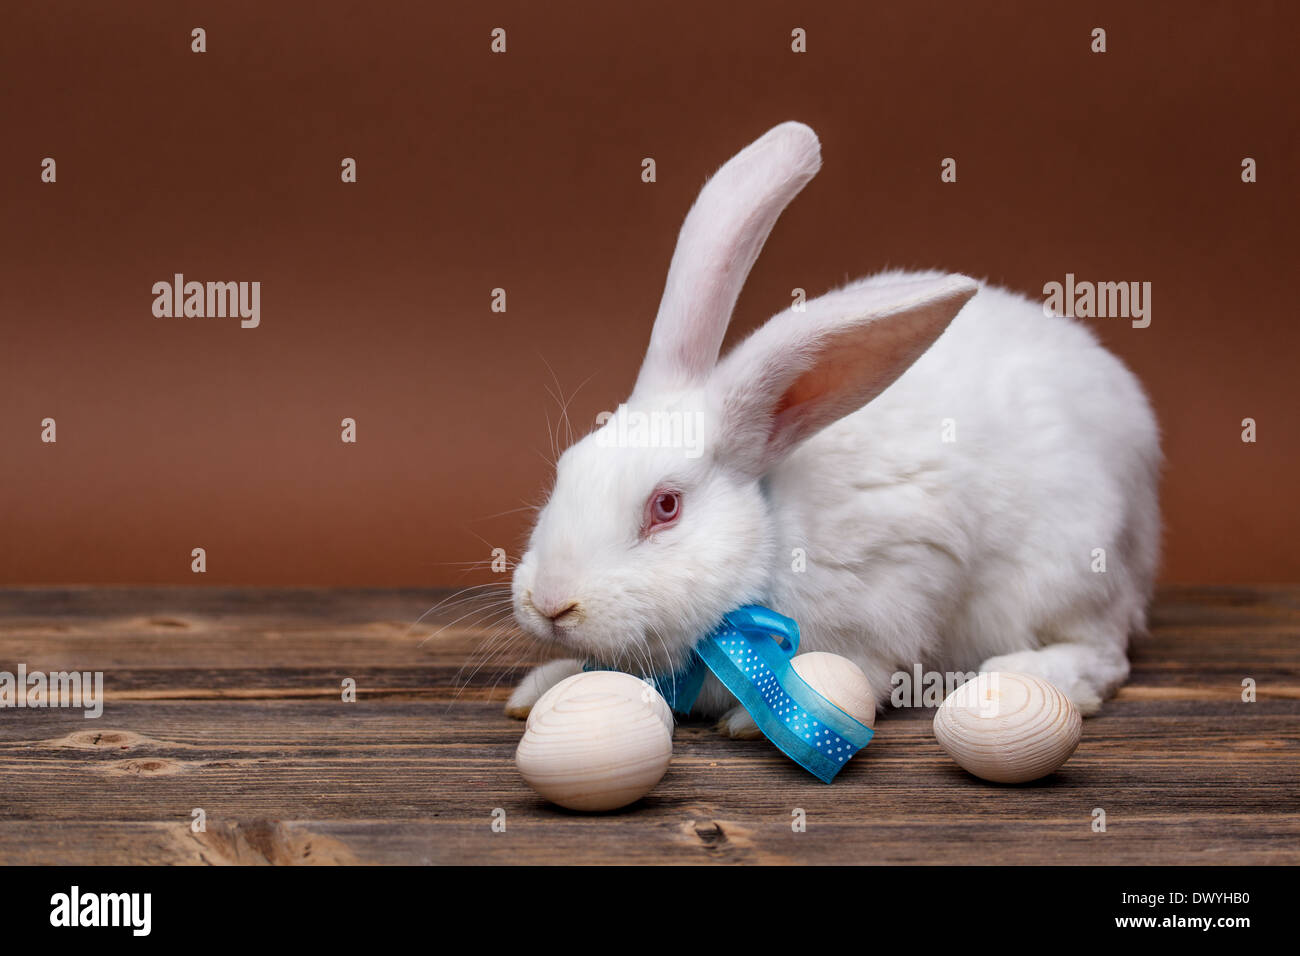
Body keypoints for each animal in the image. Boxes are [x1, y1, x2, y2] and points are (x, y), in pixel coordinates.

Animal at [504, 119, 1159, 733]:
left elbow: (861, 672)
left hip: (1068, 571)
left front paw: (752, 719)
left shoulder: (896, 590)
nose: (552, 604)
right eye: (564, 472)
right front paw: (542, 686)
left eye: (665, 507)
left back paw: (1027, 672)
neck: (771, 530)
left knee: (1105, 652)